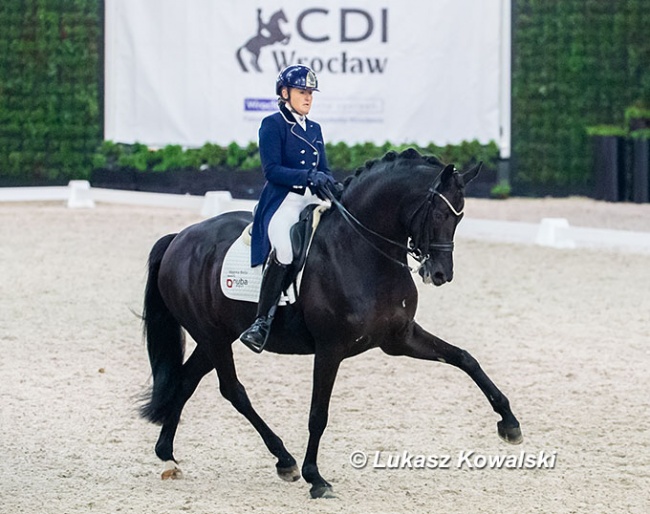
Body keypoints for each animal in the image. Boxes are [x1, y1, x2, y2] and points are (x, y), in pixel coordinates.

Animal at [140, 148, 520, 496]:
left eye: (460, 216)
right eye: (438, 212)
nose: (440, 274)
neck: (362, 251)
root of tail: (180, 238)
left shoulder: (399, 338)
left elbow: (464, 358)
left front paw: (510, 423)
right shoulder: (330, 349)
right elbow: (318, 413)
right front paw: (316, 478)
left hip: (215, 337)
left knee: (186, 380)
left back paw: (167, 453)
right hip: (214, 337)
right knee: (233, 391)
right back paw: (285, 460)